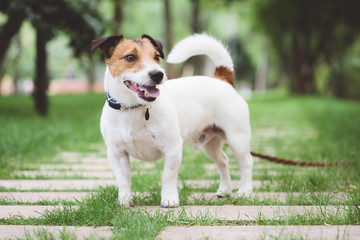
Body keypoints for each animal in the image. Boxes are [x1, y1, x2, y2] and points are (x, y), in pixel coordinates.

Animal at [90, 32, 253, 207]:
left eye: (156, 56)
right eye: (130, 57)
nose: (158, 74)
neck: (134, 109)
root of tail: (222, 79)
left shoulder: (172, 148)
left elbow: (168, 176)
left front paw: (169, 199)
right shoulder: (117, 153)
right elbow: (123, 180)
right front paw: (124, 201)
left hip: (237, 139)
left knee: (246, 162)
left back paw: (245, 191)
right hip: (210, 144)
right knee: (223, 160)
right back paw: (225, 189)